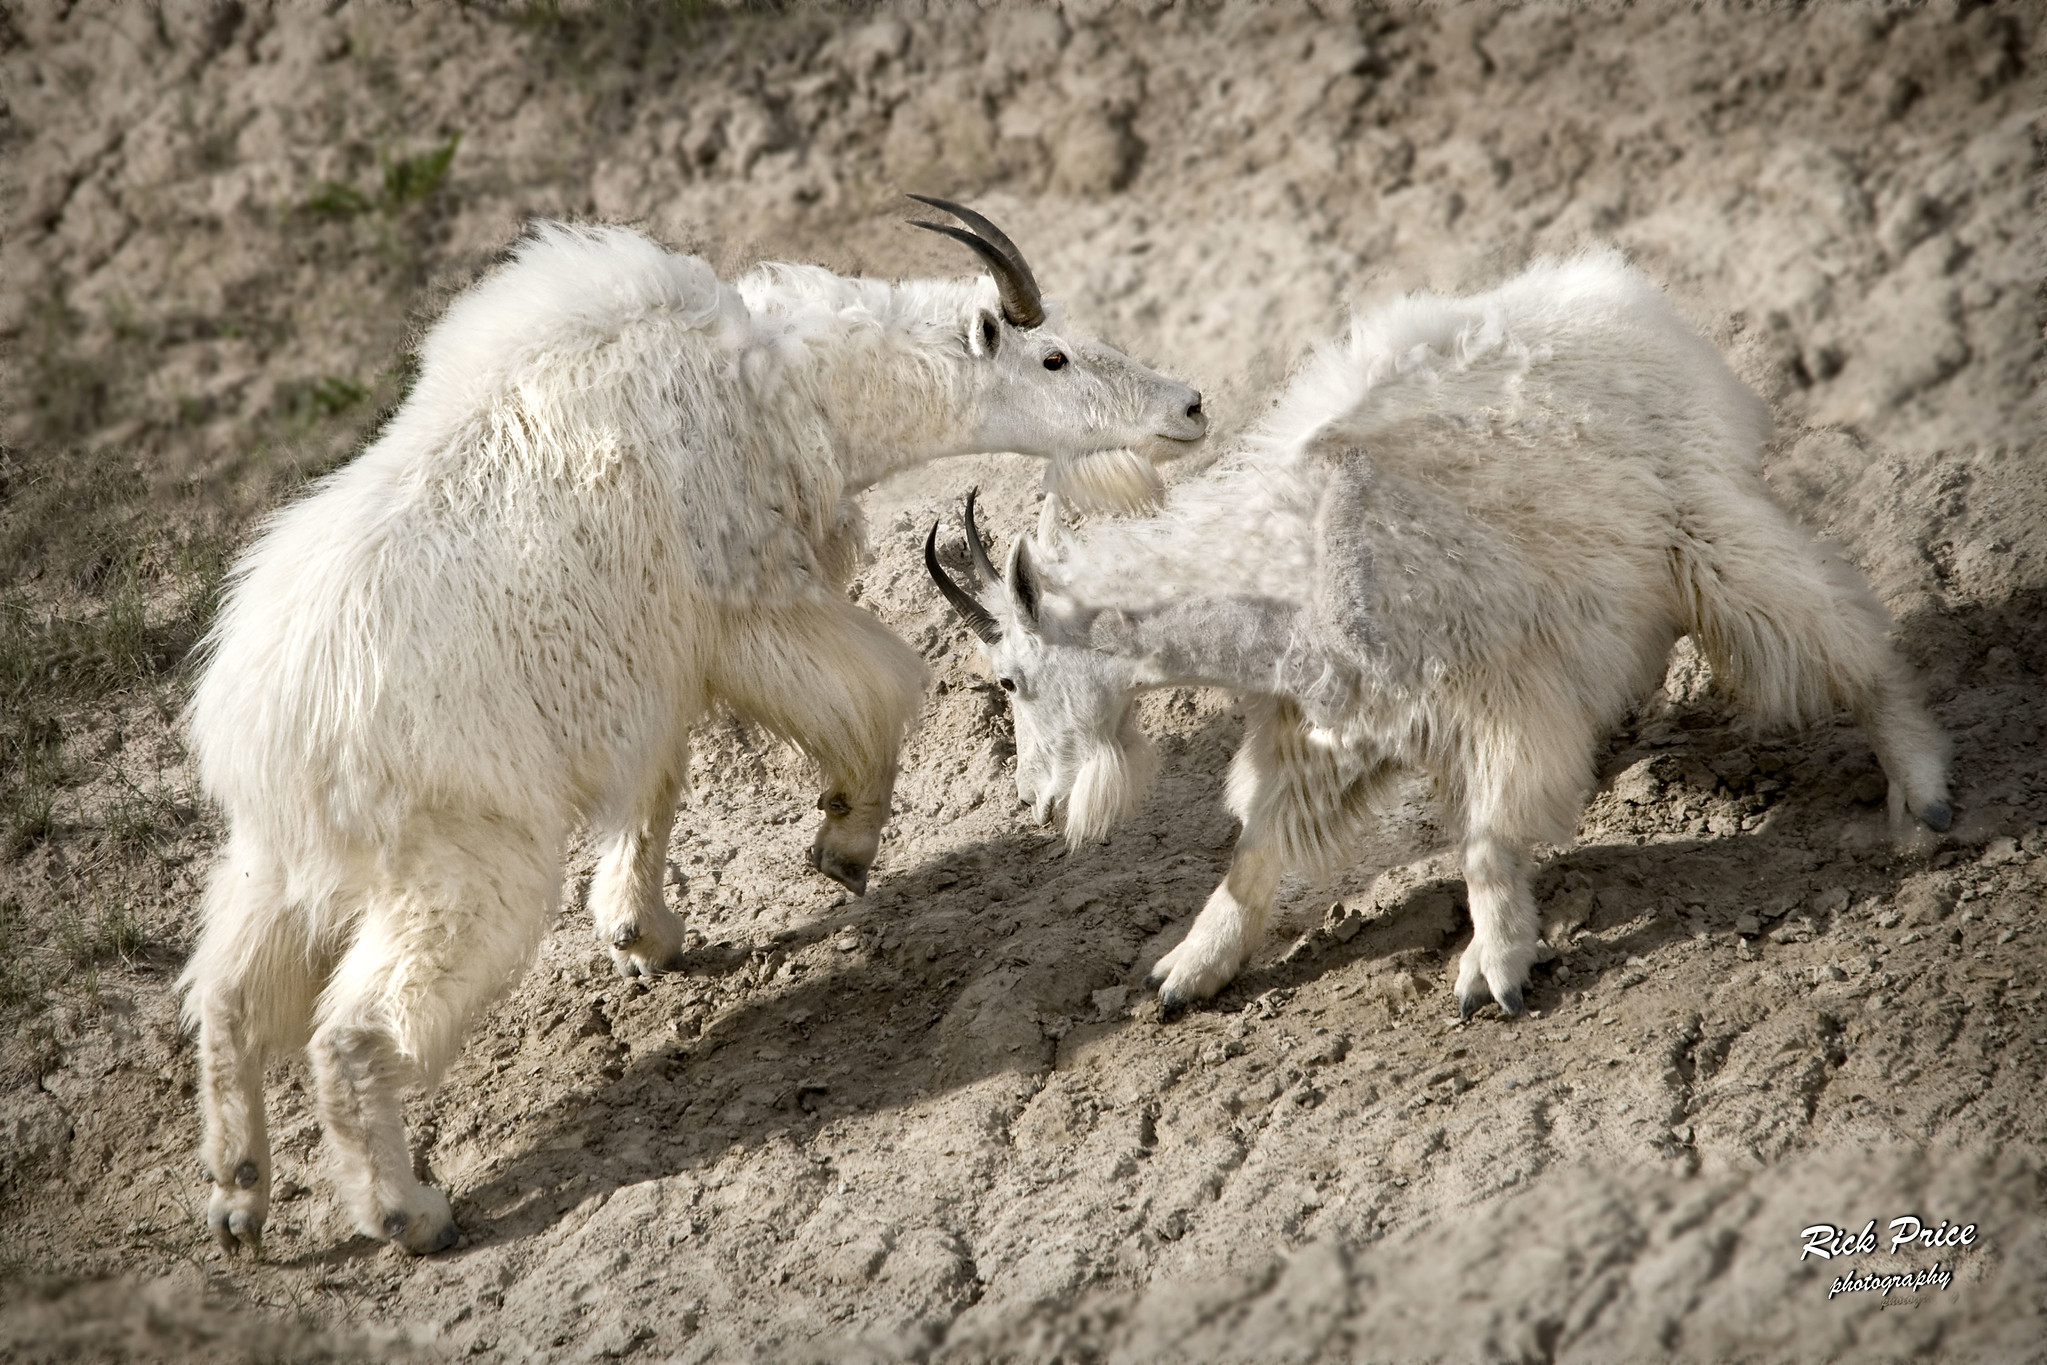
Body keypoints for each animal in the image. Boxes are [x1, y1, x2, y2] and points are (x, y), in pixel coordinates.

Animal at [184, 202, 1203, 1260]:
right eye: (1053, 356)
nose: (1190, 407)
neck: (786, 383)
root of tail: (259, 731)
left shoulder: (653, 669)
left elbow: (659, 785)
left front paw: (644, 933)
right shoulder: (750, 610)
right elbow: (876, 689)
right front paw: (842, 843)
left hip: (275, 862)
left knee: (226, 998)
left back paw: (238, 1197)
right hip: (462, 857)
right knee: (352, 1032)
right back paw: (407, 1210)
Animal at [929, 253, 1948, 1023]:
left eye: (1009, 678)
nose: (1038, 804)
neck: (1279, 560)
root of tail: (1626, 298)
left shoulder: (1498, 692)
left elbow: (1487, 841)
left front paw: (1492, 972)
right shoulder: (1323, 731)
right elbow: (1256, 851)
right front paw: (1186, 970)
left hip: (1705, 531)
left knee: (1840, 635)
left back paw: (1921, 792)